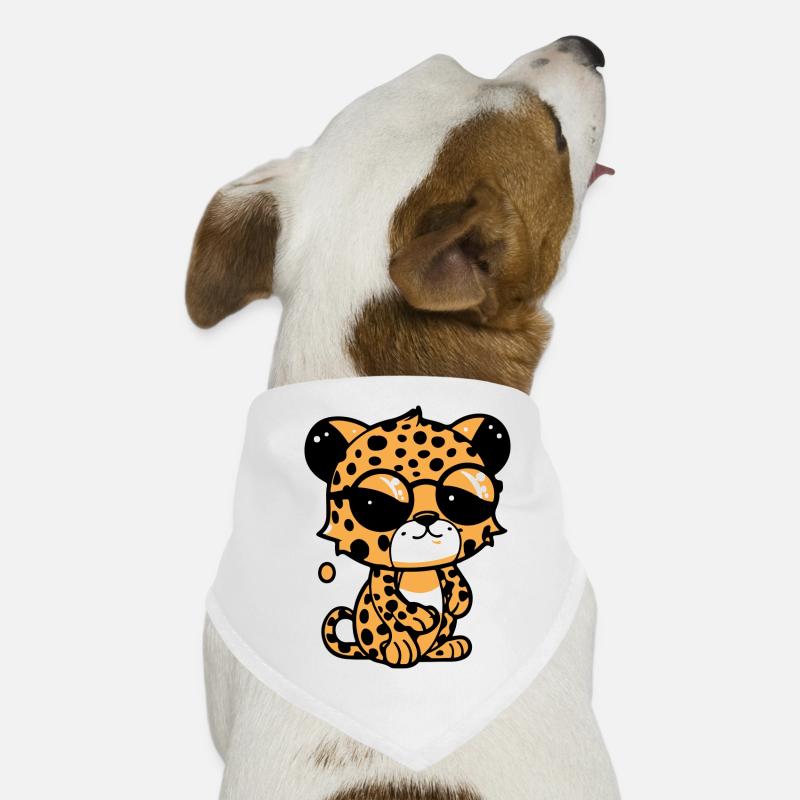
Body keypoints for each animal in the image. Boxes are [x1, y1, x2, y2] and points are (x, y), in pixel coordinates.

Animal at [305, 406, 510, 668]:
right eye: (373, 502)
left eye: (458, 497)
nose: (426, 517)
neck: (419, 569)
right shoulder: (382, 578)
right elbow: (391, 602)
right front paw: (418, 618)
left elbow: (451, 572)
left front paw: (459, 599)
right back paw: (399, 649)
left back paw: (449, 647)